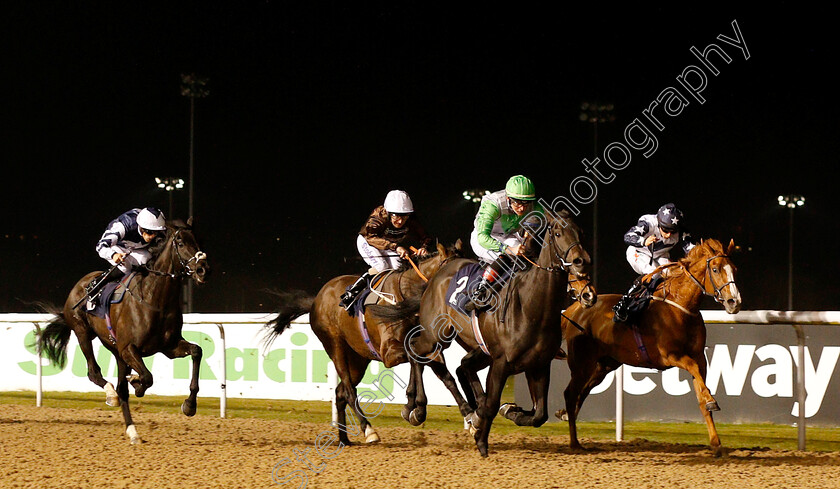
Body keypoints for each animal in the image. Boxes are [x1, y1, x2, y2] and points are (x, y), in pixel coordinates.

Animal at [37, 219, 210, 444]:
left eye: (198, 240)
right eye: (180, 242)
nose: (203, 269)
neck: (155, 300)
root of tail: (81, 283)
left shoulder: (168, 347)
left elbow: (197, 351)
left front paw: (189, 405)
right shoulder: (129, 348)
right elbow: (147, 377)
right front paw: (137, 382)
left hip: (116, 351)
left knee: (121, 388)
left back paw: (132, 431)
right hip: (83, 332)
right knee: (95, 373)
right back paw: (112, 395)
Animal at [262, 240, 466, 446]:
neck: (405, 294)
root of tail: (315, 301)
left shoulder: (429, 347)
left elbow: (444, 376)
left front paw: (468, 415)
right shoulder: (389, 353)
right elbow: (415, 360)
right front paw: (415, 408)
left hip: (358, 360)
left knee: (340, 392)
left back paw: (344, 439)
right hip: (335, 347)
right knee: (349, 391)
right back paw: (369, 430)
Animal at [374, 211, 596, 458]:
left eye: (581, 232)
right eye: (557, 233)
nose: (581, 261)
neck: (531, 306)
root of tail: (438, 274)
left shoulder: (538, 365)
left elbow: (539, 415)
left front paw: (509, 411)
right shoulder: (500, 363)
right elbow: (491, 405)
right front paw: (482, 440)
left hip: (476, 349)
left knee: (461, 367)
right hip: (436, 335)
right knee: (415, 350)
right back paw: (416, 408)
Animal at [560, 238, 740, 456]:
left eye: (734, 269)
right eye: (715, 269)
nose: (734, 302)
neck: (681, 307)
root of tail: (575, 308)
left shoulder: (699, 357)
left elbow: (700, 393)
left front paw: (715, 442)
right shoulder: (671, 355)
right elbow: (693, 370)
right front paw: (711, 399)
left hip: (603, 365)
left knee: (582, 392)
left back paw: (566, 418)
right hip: (581, 363)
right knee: (571, 394)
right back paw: (574, 442)